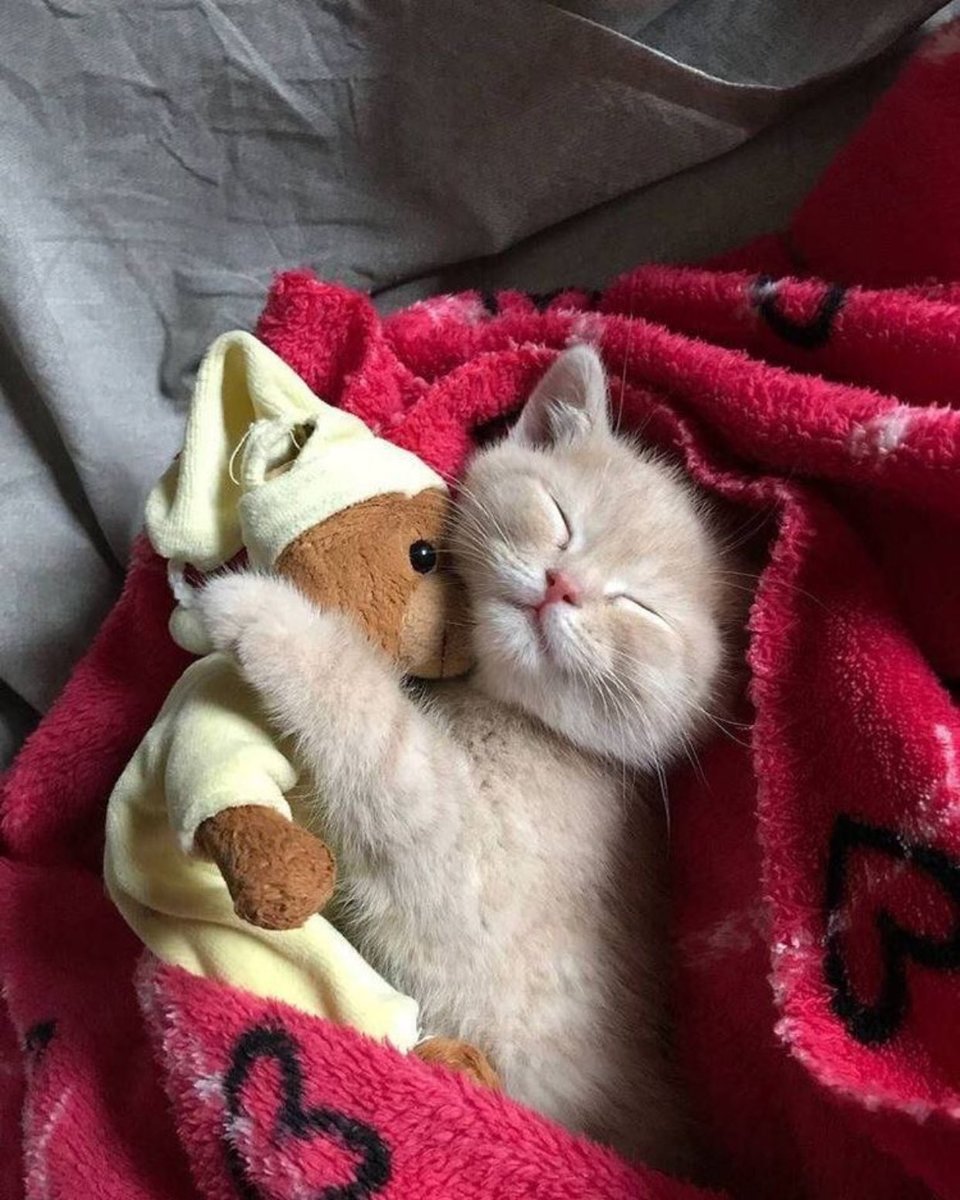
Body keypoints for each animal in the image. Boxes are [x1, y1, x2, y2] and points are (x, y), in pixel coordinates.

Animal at [196, 345, 734, 1171]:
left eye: (639, 609)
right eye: (558, 517)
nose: (562, 585)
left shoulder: (449, 836)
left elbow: (363, 708)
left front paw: (261, 613)